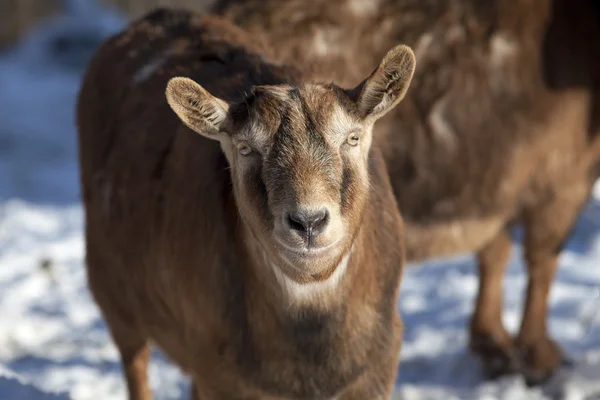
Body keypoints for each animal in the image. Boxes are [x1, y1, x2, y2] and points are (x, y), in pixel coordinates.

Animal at [76, 8, 418, 400]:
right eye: (245, 148)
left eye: (352, 138)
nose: (308, 221)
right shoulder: (219, 371)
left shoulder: (377, 364)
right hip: (112, 289)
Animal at [217, 0, 600, 384]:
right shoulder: (559, 178)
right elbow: (543, 257)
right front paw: (539, 356)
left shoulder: (500, 186)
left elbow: (496, 252)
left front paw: (493, 345)